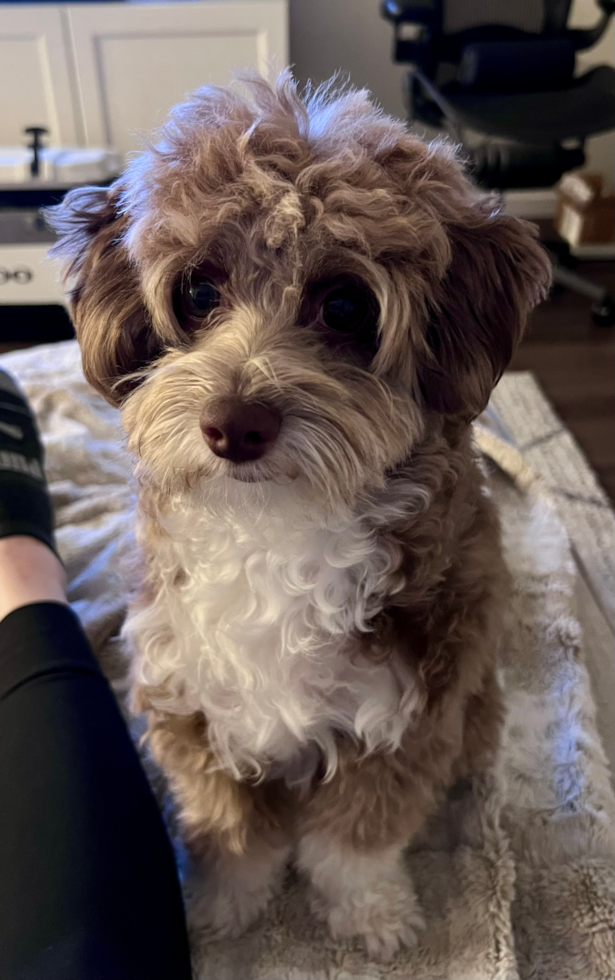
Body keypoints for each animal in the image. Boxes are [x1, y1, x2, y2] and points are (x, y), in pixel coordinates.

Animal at [49, 72, 552, 960]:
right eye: (198, 291)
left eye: (345, 305)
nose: (234, 425)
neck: (275, 527)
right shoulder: (187, 700)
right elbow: (231, 832)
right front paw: (222, 906)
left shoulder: (411, 710)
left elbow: (354, 841)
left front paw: (372, 913)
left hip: (475, 701)